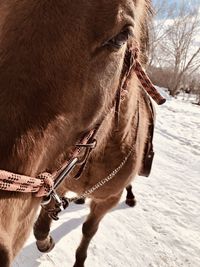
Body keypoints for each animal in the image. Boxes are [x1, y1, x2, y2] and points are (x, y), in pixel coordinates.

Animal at [0, 0, 164, 267]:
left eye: (122, 36)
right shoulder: (58, 182)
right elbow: (41, 227)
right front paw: (47, 240)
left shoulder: (107, 201)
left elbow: (88, 231)